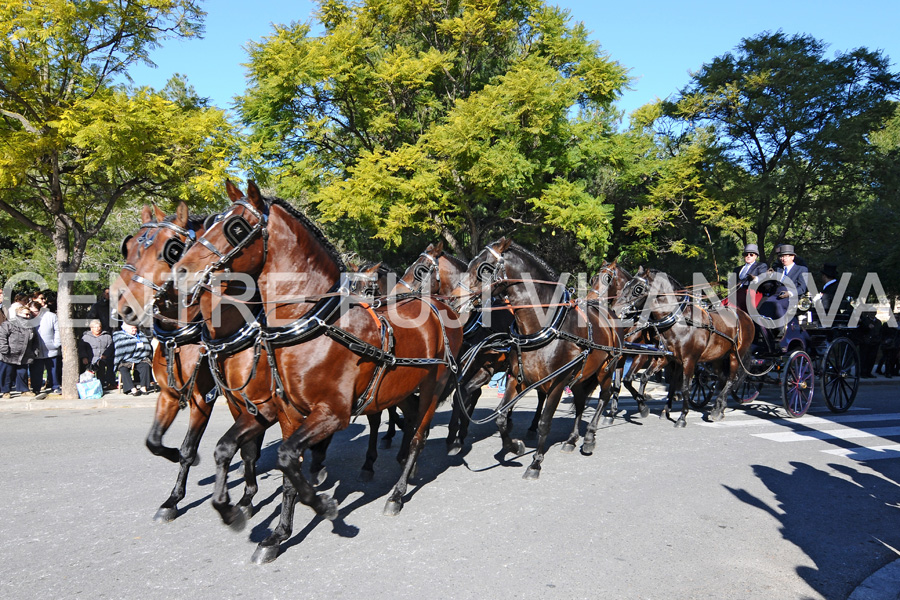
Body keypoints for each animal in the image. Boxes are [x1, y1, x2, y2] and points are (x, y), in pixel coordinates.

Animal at [172, 182, 464, 564]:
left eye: (236, 227)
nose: (180, 272)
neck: (312, 326)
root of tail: (439, 305)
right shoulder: (283, 412)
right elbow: (259, 459)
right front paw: (268, 529)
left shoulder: (332, 414)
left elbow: (285, 458)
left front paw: (321, 504)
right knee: (411, 421)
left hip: (434, 384)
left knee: (419, 434)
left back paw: (397, 493)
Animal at [448, 239, 620, 478]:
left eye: (484, 268)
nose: (454, 298)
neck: (542, 327)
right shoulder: (516, 377)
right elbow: (500, 416)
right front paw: (514, 446)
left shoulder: (558, 383)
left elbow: (545, 423)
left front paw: (535, 463)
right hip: (581, 376)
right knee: (580, 401)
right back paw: (571, 440)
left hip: (605, 370)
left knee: (604, 396)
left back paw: (589, 439)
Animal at [616, 268, 756, 426]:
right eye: (626, 285)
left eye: (638, 289)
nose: (616, 310)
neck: (679, 321)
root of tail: (744, 315)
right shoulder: (665, 357)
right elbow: (647, 378)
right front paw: (647, 407)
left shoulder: (689, 360)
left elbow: (685, 387)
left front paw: (682, 417)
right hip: (717, 358)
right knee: (722, 377)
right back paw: (718, 408)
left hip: (735, 355)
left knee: (732, 378)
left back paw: (718, 409)